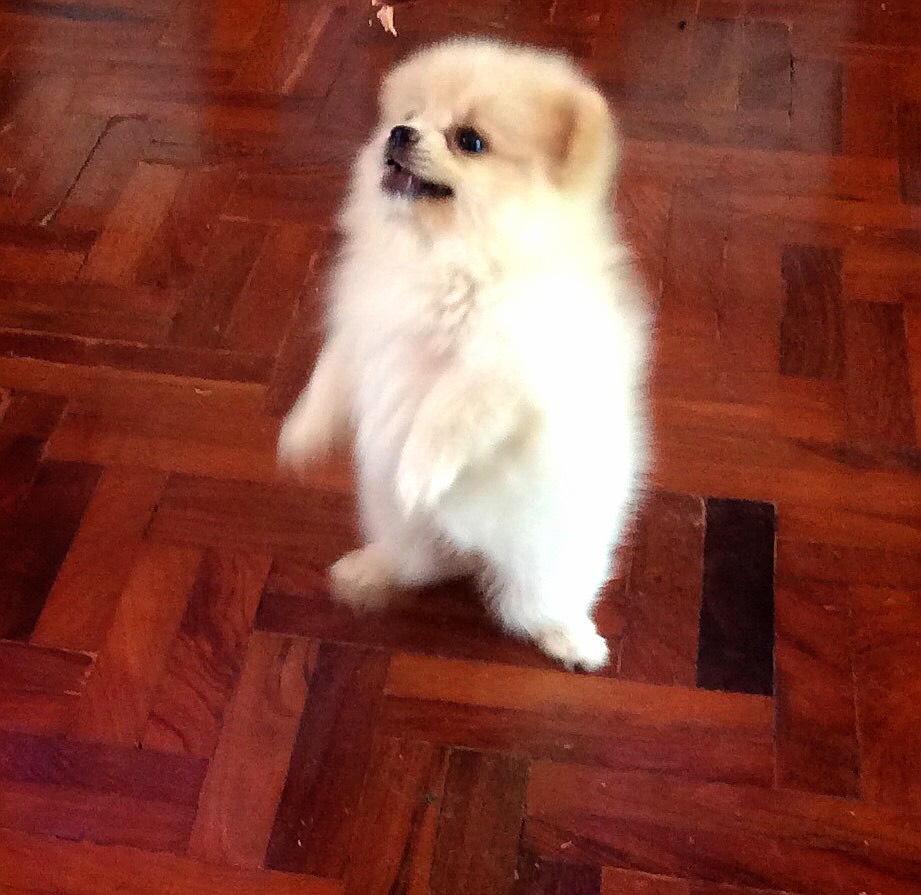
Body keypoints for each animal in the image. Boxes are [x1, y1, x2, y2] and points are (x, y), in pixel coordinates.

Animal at [278, 38, 649, 670]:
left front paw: (417, 473)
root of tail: (473, 550)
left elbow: (445, 413)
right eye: (410, 114)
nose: (399, 133)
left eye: (469, 140)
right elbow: (328, 378)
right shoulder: (361, 329)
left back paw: (571, 639)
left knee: (534, 602)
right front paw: (300, 434)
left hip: (550, 557)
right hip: (396, 524)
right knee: (417, 562)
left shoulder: (505, 369)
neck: (442, 255)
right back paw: (370, 571)